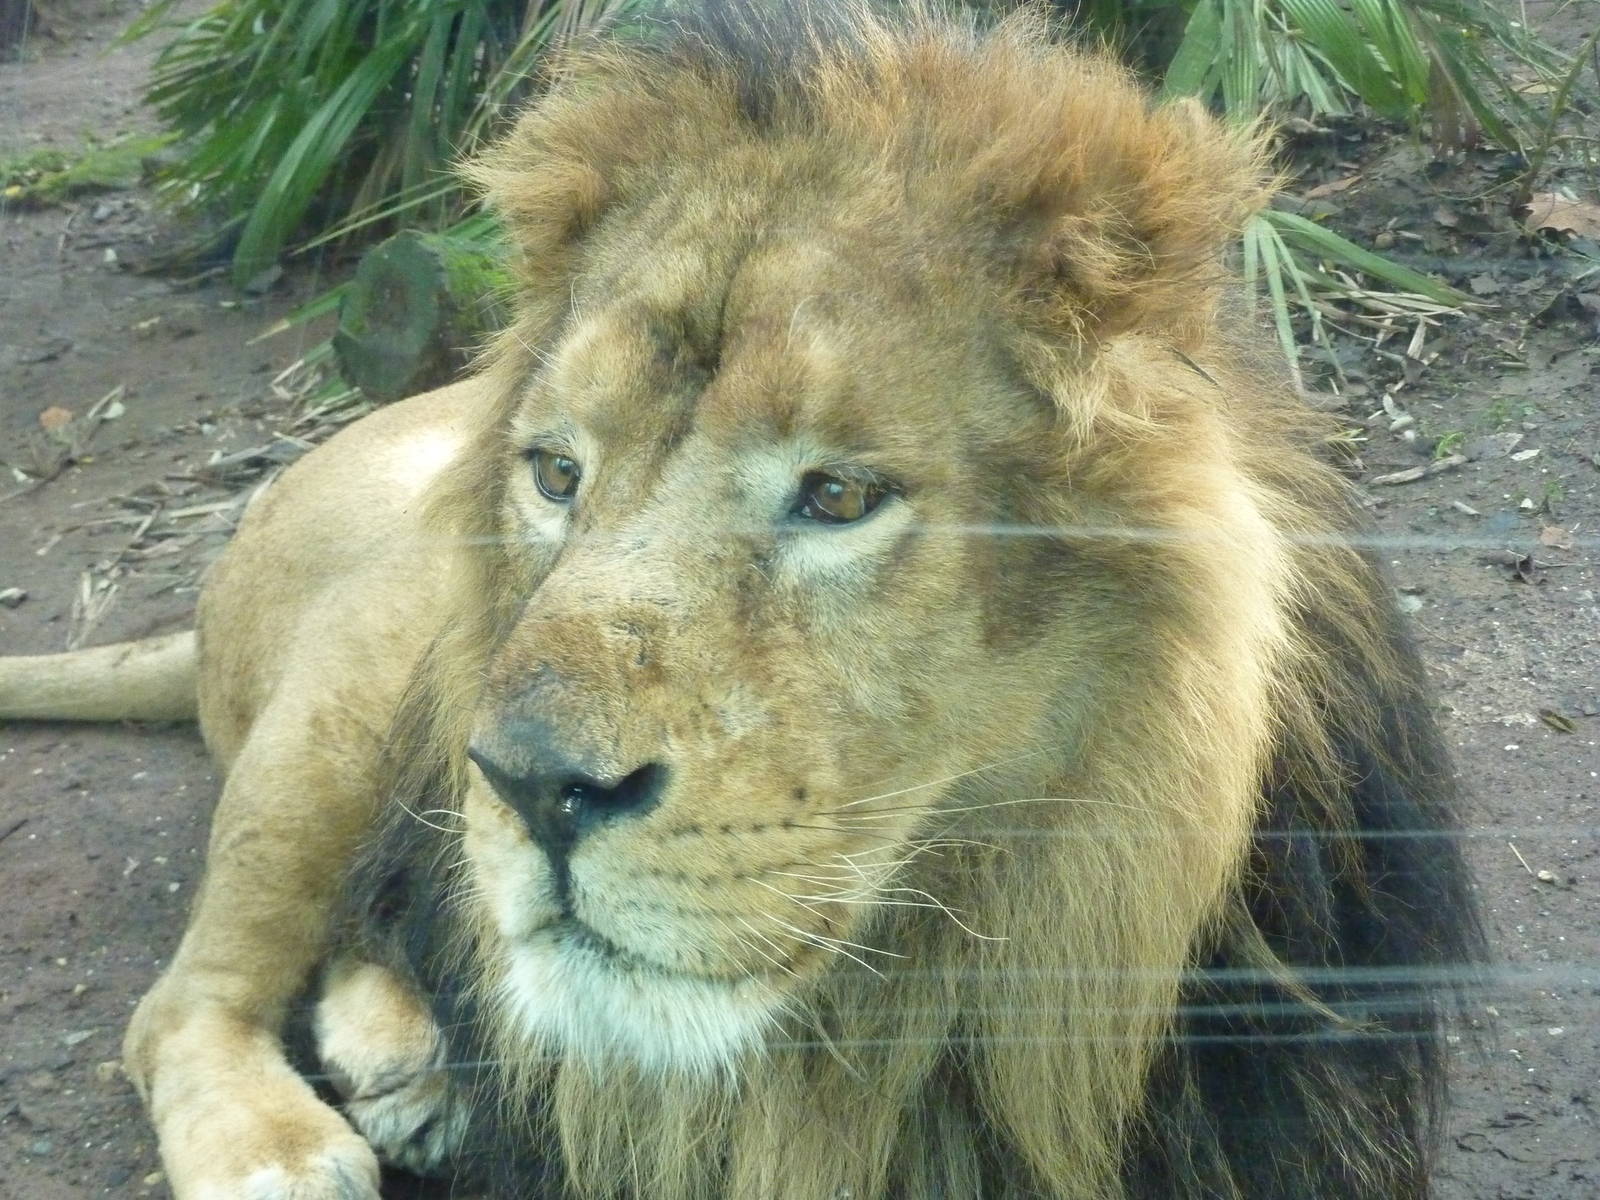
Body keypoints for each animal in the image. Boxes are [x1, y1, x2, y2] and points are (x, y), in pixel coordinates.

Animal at [0, 4, 1482, 1197]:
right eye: (557, 474)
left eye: (835, 495)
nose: (529, 787)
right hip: (342, 707)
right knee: (184, 998)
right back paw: (283, 1148)